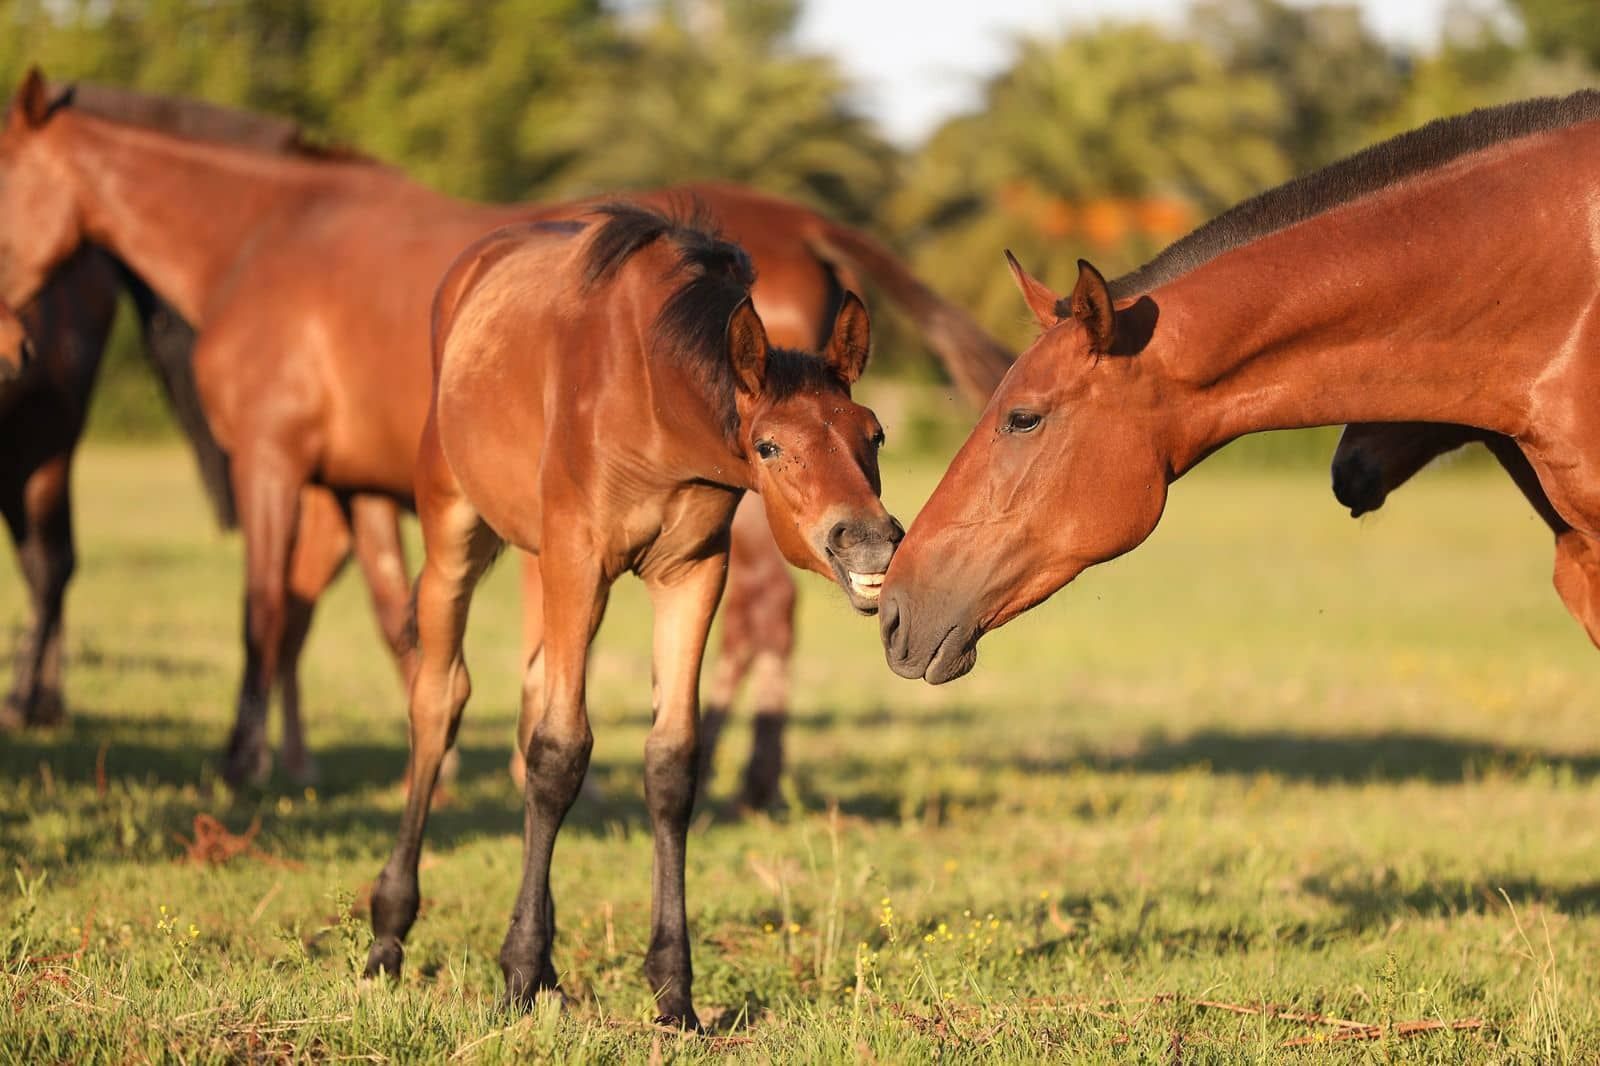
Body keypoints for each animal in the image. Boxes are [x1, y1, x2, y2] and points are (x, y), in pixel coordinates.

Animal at [0, 68, 1008, 787]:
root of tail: (797, 221)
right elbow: (365, 617)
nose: (16, 347)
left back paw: (738, 772)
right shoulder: (356, 487)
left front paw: (245, 765)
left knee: (763, 615)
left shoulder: (272, 463)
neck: (266, 236)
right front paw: (354, 761)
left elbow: (263, 610)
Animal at [364, 205, 899, 1028]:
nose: (868, 540)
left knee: (527, 695)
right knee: (440, 700)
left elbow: (670, 761)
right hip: (455, 526)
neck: (652, 397)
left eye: (873, 434)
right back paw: (390, 936)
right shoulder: (577, 557)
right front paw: (516, 977)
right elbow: (560, 753)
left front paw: (673, 993)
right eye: (769, 446)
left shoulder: (693, 572)